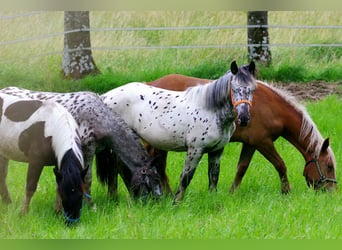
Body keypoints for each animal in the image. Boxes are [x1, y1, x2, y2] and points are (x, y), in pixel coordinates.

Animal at [0, 92, 87, 225]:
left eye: (81, 194)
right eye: (65, 195)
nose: (71, 222)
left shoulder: (58, 164)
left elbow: (57, 186)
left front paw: (57, 212)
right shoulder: (36, 161)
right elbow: (30, 187)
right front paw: (23, 214)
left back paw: (8, 204)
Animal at [101, 61, 256, 203]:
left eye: (253, 89)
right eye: (234, 88)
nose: (244, 118)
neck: (211, 111)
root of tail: (106, 96)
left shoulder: (216, 151)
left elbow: (213, 177)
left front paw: (212, 199)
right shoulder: (195, 150)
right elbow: (186, 177)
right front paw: (176, 202)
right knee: (116, 167)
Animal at [146, 73, 336, 193]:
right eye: (329, 166)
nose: (332, 191)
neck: (272, 106)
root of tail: (150, 84)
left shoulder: (251, 144)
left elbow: (241, 168)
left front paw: (232, 192)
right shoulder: (263, 142)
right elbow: (281, 165)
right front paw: (286, 191)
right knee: (160, 165)